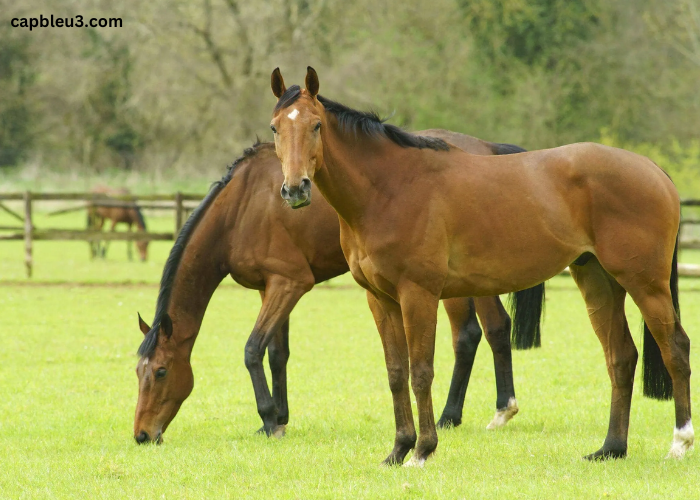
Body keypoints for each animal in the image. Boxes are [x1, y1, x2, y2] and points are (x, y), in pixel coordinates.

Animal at [134, 133, 540, 442]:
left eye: (161, 372)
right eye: (138, 372)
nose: (141, 434)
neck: (242, 208)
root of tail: (487, 147)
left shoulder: (290, 283)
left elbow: (252, 350)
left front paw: (268, 419)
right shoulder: (271, 288)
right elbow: (276, 353)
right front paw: (279, 417)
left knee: (476, 333)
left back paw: (465, 413)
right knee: (486, 331)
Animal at [270, 67, 692, 464]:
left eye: (316, 125)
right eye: (275, 127)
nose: (295, 189)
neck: (389, 188)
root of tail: (653, 169)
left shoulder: (418, 294)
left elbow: (421, 372)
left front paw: (422, 451)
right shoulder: (380, 299)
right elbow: (396, 373)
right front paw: (398, 450)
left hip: (645, 284)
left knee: (676, 349)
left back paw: (680, 443)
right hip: (598, 282)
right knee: (621, 357)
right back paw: (611, 449)